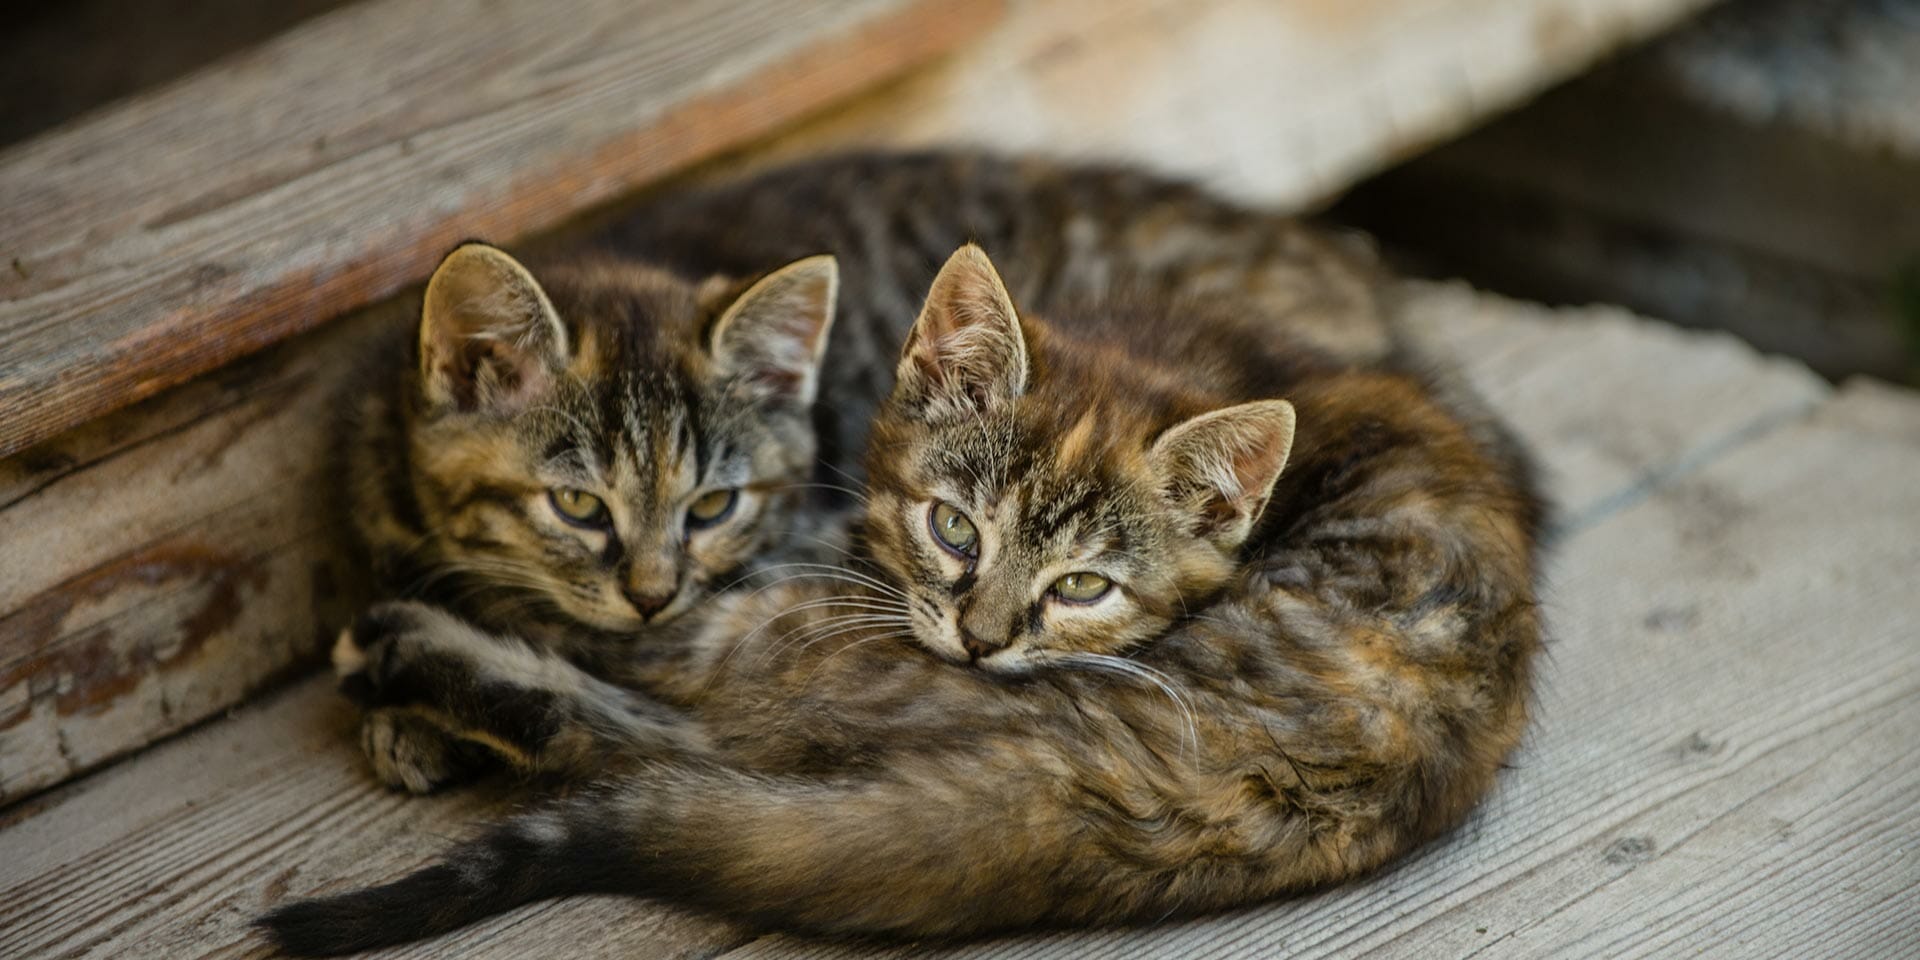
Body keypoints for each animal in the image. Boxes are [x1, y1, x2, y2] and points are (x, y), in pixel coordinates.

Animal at [263, 241, 1543, 952]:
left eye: (1084, 585)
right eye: (955, 528)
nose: (980, 639)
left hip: (826, 653)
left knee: (667, 726)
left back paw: (406, 648)